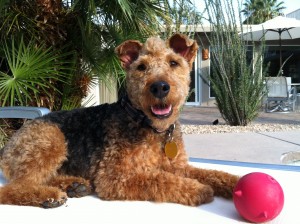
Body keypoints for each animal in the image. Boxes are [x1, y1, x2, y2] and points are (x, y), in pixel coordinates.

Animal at [0, 33, 239, 208]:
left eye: (174, 63)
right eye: (141, 67)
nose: (160, 87)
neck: (151, 127)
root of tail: (7, 146)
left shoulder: (177, 165)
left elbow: (211, 173)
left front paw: (235, 183)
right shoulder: (114, 177)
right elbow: (159, 179)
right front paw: (198, 189)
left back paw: (74, 185)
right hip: (51, 140)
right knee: (13, 188)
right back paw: (50, 196)